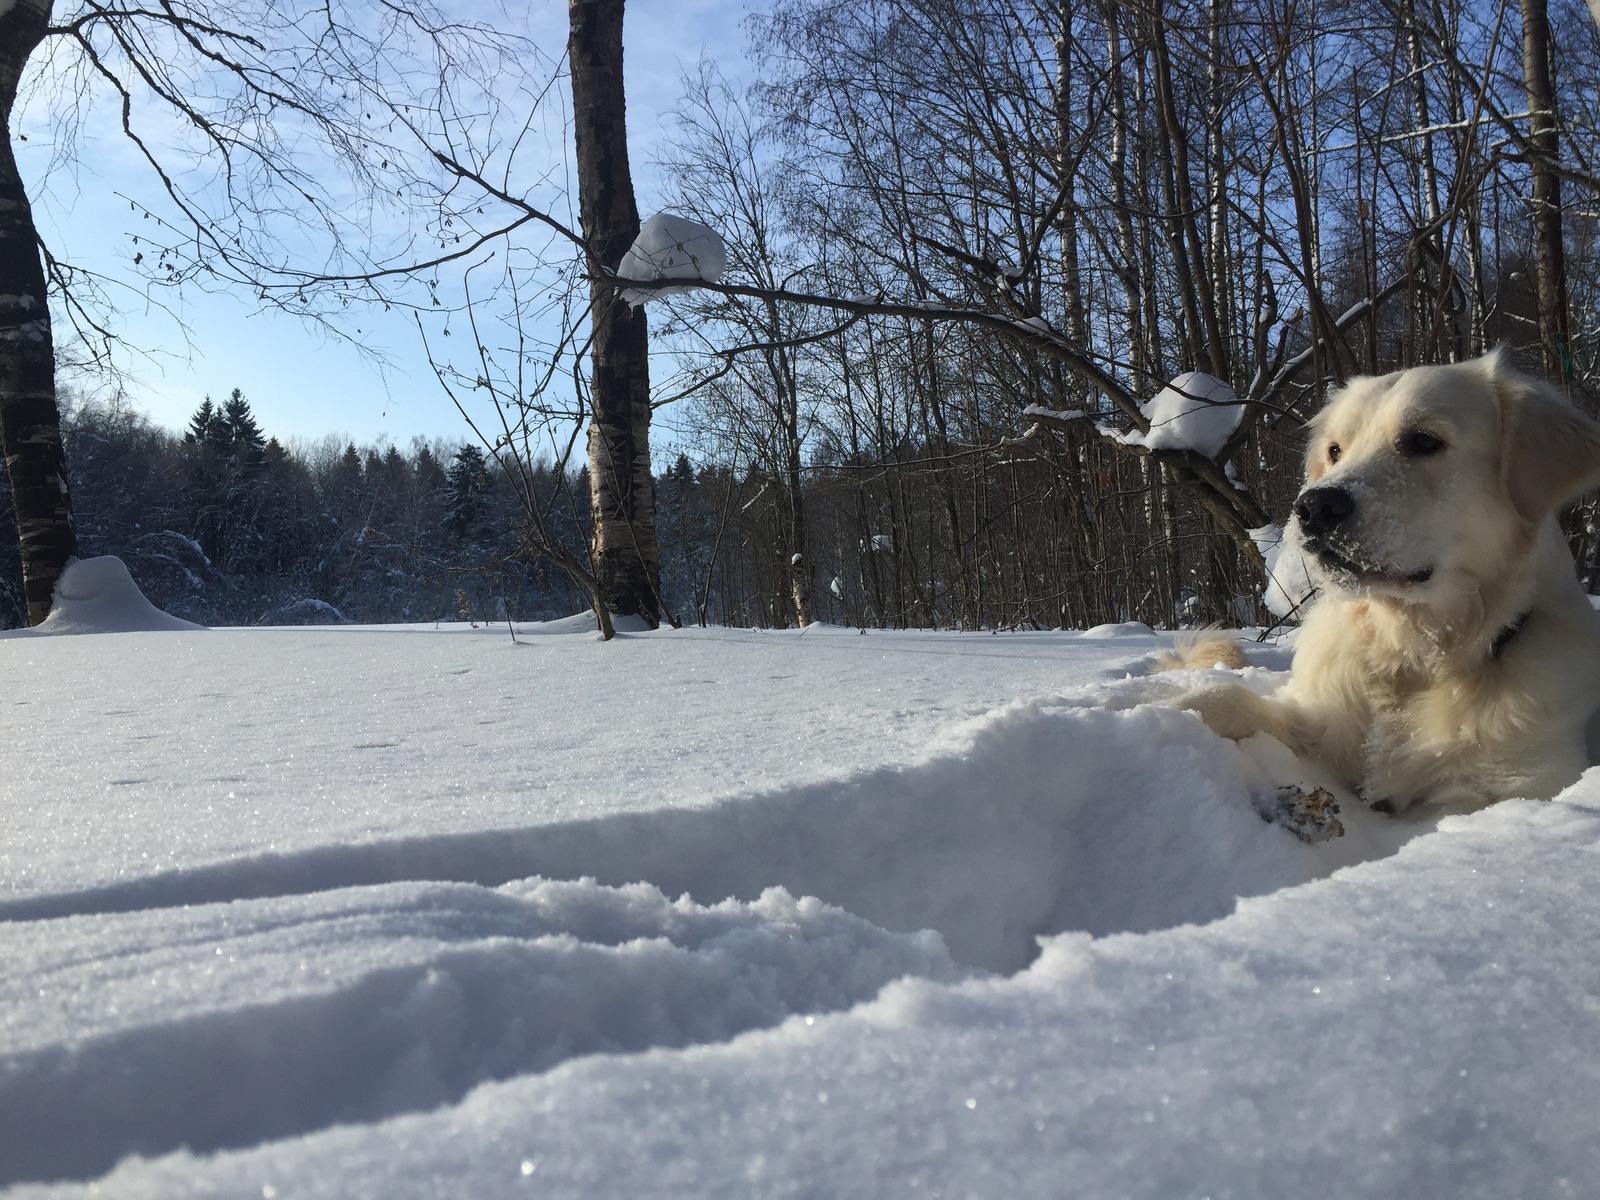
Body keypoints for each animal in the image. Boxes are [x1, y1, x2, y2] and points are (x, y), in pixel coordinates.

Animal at [1164, 350, 1600, 819]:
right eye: (1335, 451)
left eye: (1424, 441)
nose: (1314, 507)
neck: (1409, 661)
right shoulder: (1318, 720)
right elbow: (1228, 697)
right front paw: (1159, 712)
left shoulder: (1524, 779)